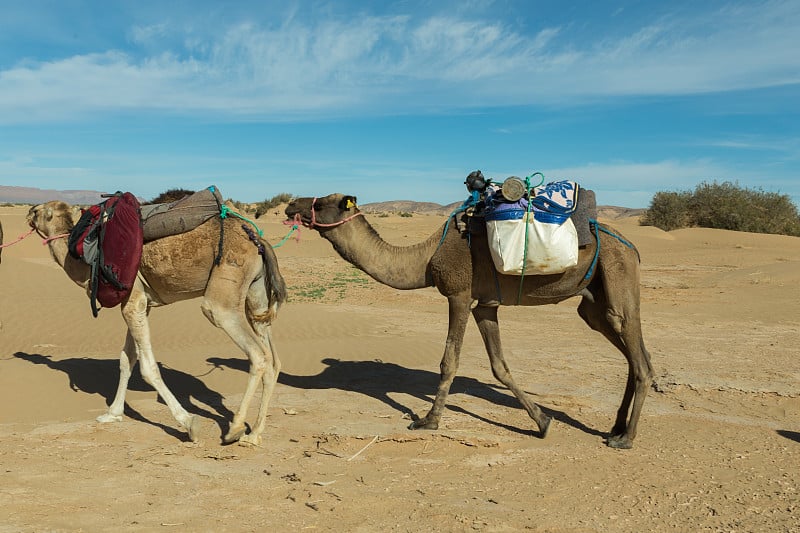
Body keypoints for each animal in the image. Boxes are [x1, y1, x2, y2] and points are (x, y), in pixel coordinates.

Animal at [27, 200, 288, 444]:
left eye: (39, 211)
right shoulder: (140, 304)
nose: (28, 212)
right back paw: (254, 434)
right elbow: (127, 359)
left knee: (257, 353)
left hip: (224, 293)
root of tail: (259, 241)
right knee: (272, 359)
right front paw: (112, 413)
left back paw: (235, 428)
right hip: (256, 295)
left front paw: (189, 423)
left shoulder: (133, 300)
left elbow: (147, 368)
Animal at [288, 193, 656, 446]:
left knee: (639, 357)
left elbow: (449, 360)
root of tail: (632, 246)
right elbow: (499, 365)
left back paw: (626, 438)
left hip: (618, 273)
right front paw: (542, 421)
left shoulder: (459, 294)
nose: (291, 205)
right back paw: (615, 427)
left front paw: (428, 420)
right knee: (633, 352)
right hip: (593, 302)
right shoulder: (486, 305)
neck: (426, 258)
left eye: (324, 202)